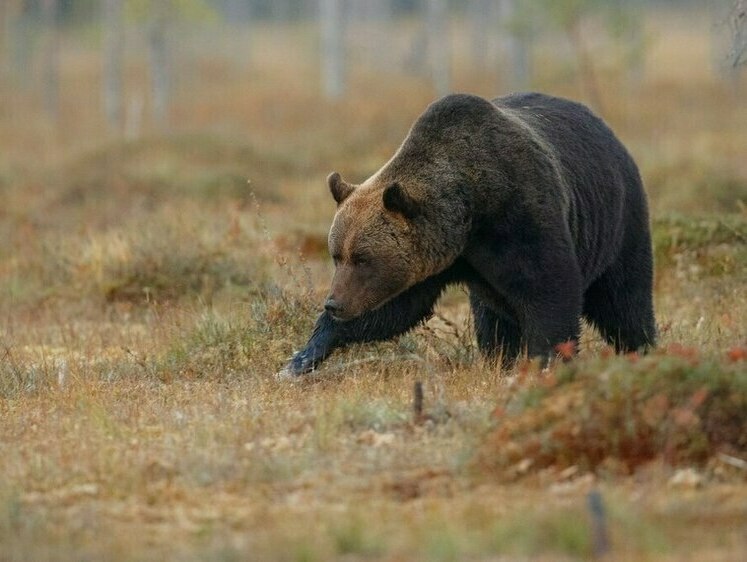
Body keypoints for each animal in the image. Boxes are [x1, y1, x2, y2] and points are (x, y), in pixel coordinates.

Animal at [280, 91, 656, 376]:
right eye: (336, 255)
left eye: (363, 258)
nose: (333, 303)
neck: (469, 215)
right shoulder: (437, 260)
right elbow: (394, 310)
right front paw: (301, 358)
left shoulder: (520, 217)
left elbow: (550, 291)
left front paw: (546, 363)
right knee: (492, 318)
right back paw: (497, 358)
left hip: (619, 221)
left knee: (625, 300)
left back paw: (642, 349)